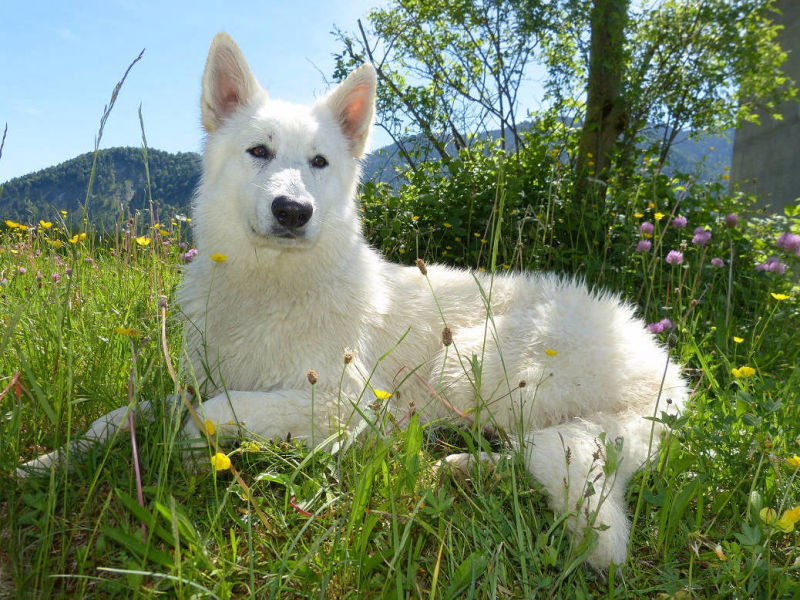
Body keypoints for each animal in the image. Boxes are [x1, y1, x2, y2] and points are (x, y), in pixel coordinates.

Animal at [21, 34, 692, 572]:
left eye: (319, 162)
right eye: (259, 151)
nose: (294, 211)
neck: (271, 283)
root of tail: (664, 376)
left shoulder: (345, 401)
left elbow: (208, 415)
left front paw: (189, 453)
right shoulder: (195, 378)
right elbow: (116, 418)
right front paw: (45, 463)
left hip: (469, 362)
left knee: (532, 445)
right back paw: (463, 467)